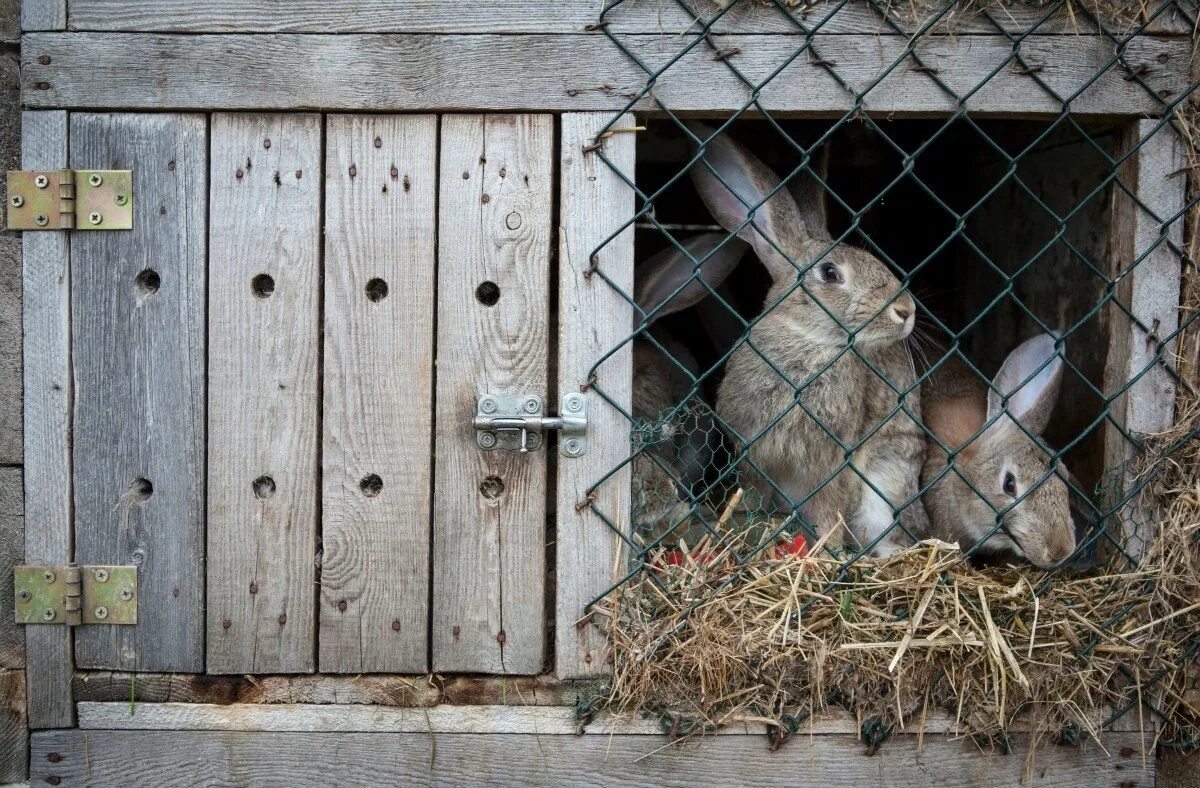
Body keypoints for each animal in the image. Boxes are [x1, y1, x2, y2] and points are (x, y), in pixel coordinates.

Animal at [686, 122, 926, 554]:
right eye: (830, 273)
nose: (906, 310)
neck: (809, 342)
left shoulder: (834, 462)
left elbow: (830, 507)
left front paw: (826, 550)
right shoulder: (754, 455)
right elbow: (754, 493)